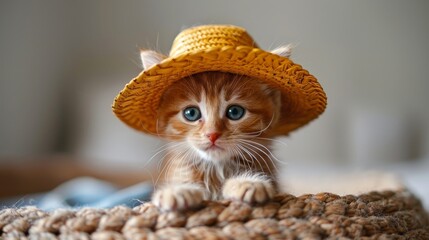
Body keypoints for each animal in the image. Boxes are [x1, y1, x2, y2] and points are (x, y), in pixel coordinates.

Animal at [140, 45, 290, 210]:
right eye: (191, 113)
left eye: (235, 112)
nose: (212, 134)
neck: (216, 169)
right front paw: (177, 191)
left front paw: (248, 182)